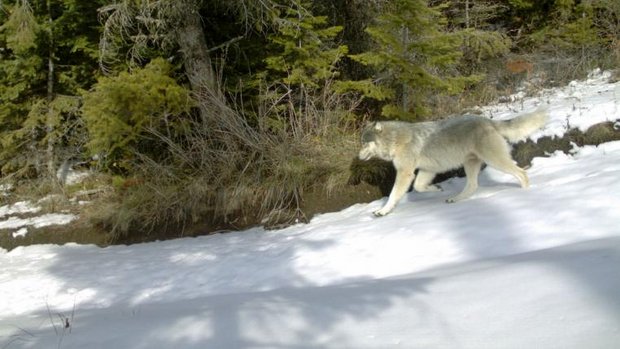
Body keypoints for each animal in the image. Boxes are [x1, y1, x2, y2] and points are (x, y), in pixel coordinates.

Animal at [358, 106, 548, 215]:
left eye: (364, 143)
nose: (357, 157)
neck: (395, 140)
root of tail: (487, 120)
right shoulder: (427, 170)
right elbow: (419, 187)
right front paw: (437, 188)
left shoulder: (405, 173)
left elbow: (393, 195)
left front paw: (382, 211)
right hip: (470, 165)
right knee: (472, 186)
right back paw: (454, 199)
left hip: (495, 161)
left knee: (522, 173)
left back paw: (525, 193)